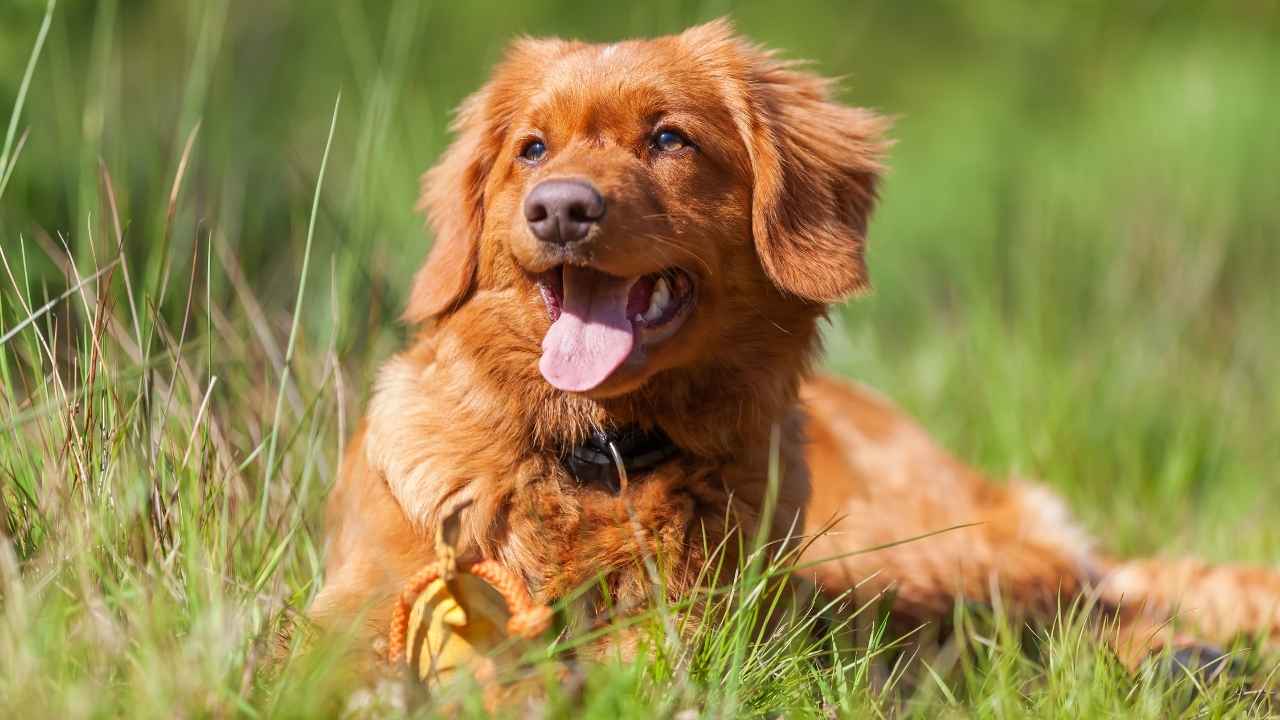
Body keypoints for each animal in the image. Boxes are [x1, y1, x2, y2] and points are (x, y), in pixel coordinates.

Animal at [312, 18, 1280, 671]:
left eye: (669, 137)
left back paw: (1185, 659)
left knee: (1065, 601)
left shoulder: (693, 630)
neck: (593, 451)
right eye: (531, 149)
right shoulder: (350, 615)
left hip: (902, 546)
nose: (560, 208)